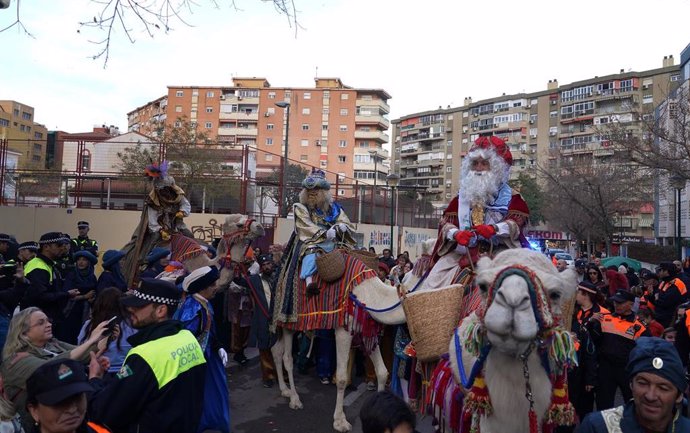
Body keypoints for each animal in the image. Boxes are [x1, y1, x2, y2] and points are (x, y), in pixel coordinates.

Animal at [270, 255, 408, 430]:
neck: (370, 294)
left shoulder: (365, 330)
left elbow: (382, 372)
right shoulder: (343, 329)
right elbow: (342, 378)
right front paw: (340, 421)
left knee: (276, 350)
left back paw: (285, 390)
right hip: (288, 322)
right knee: (287, 358)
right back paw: (295, 399)